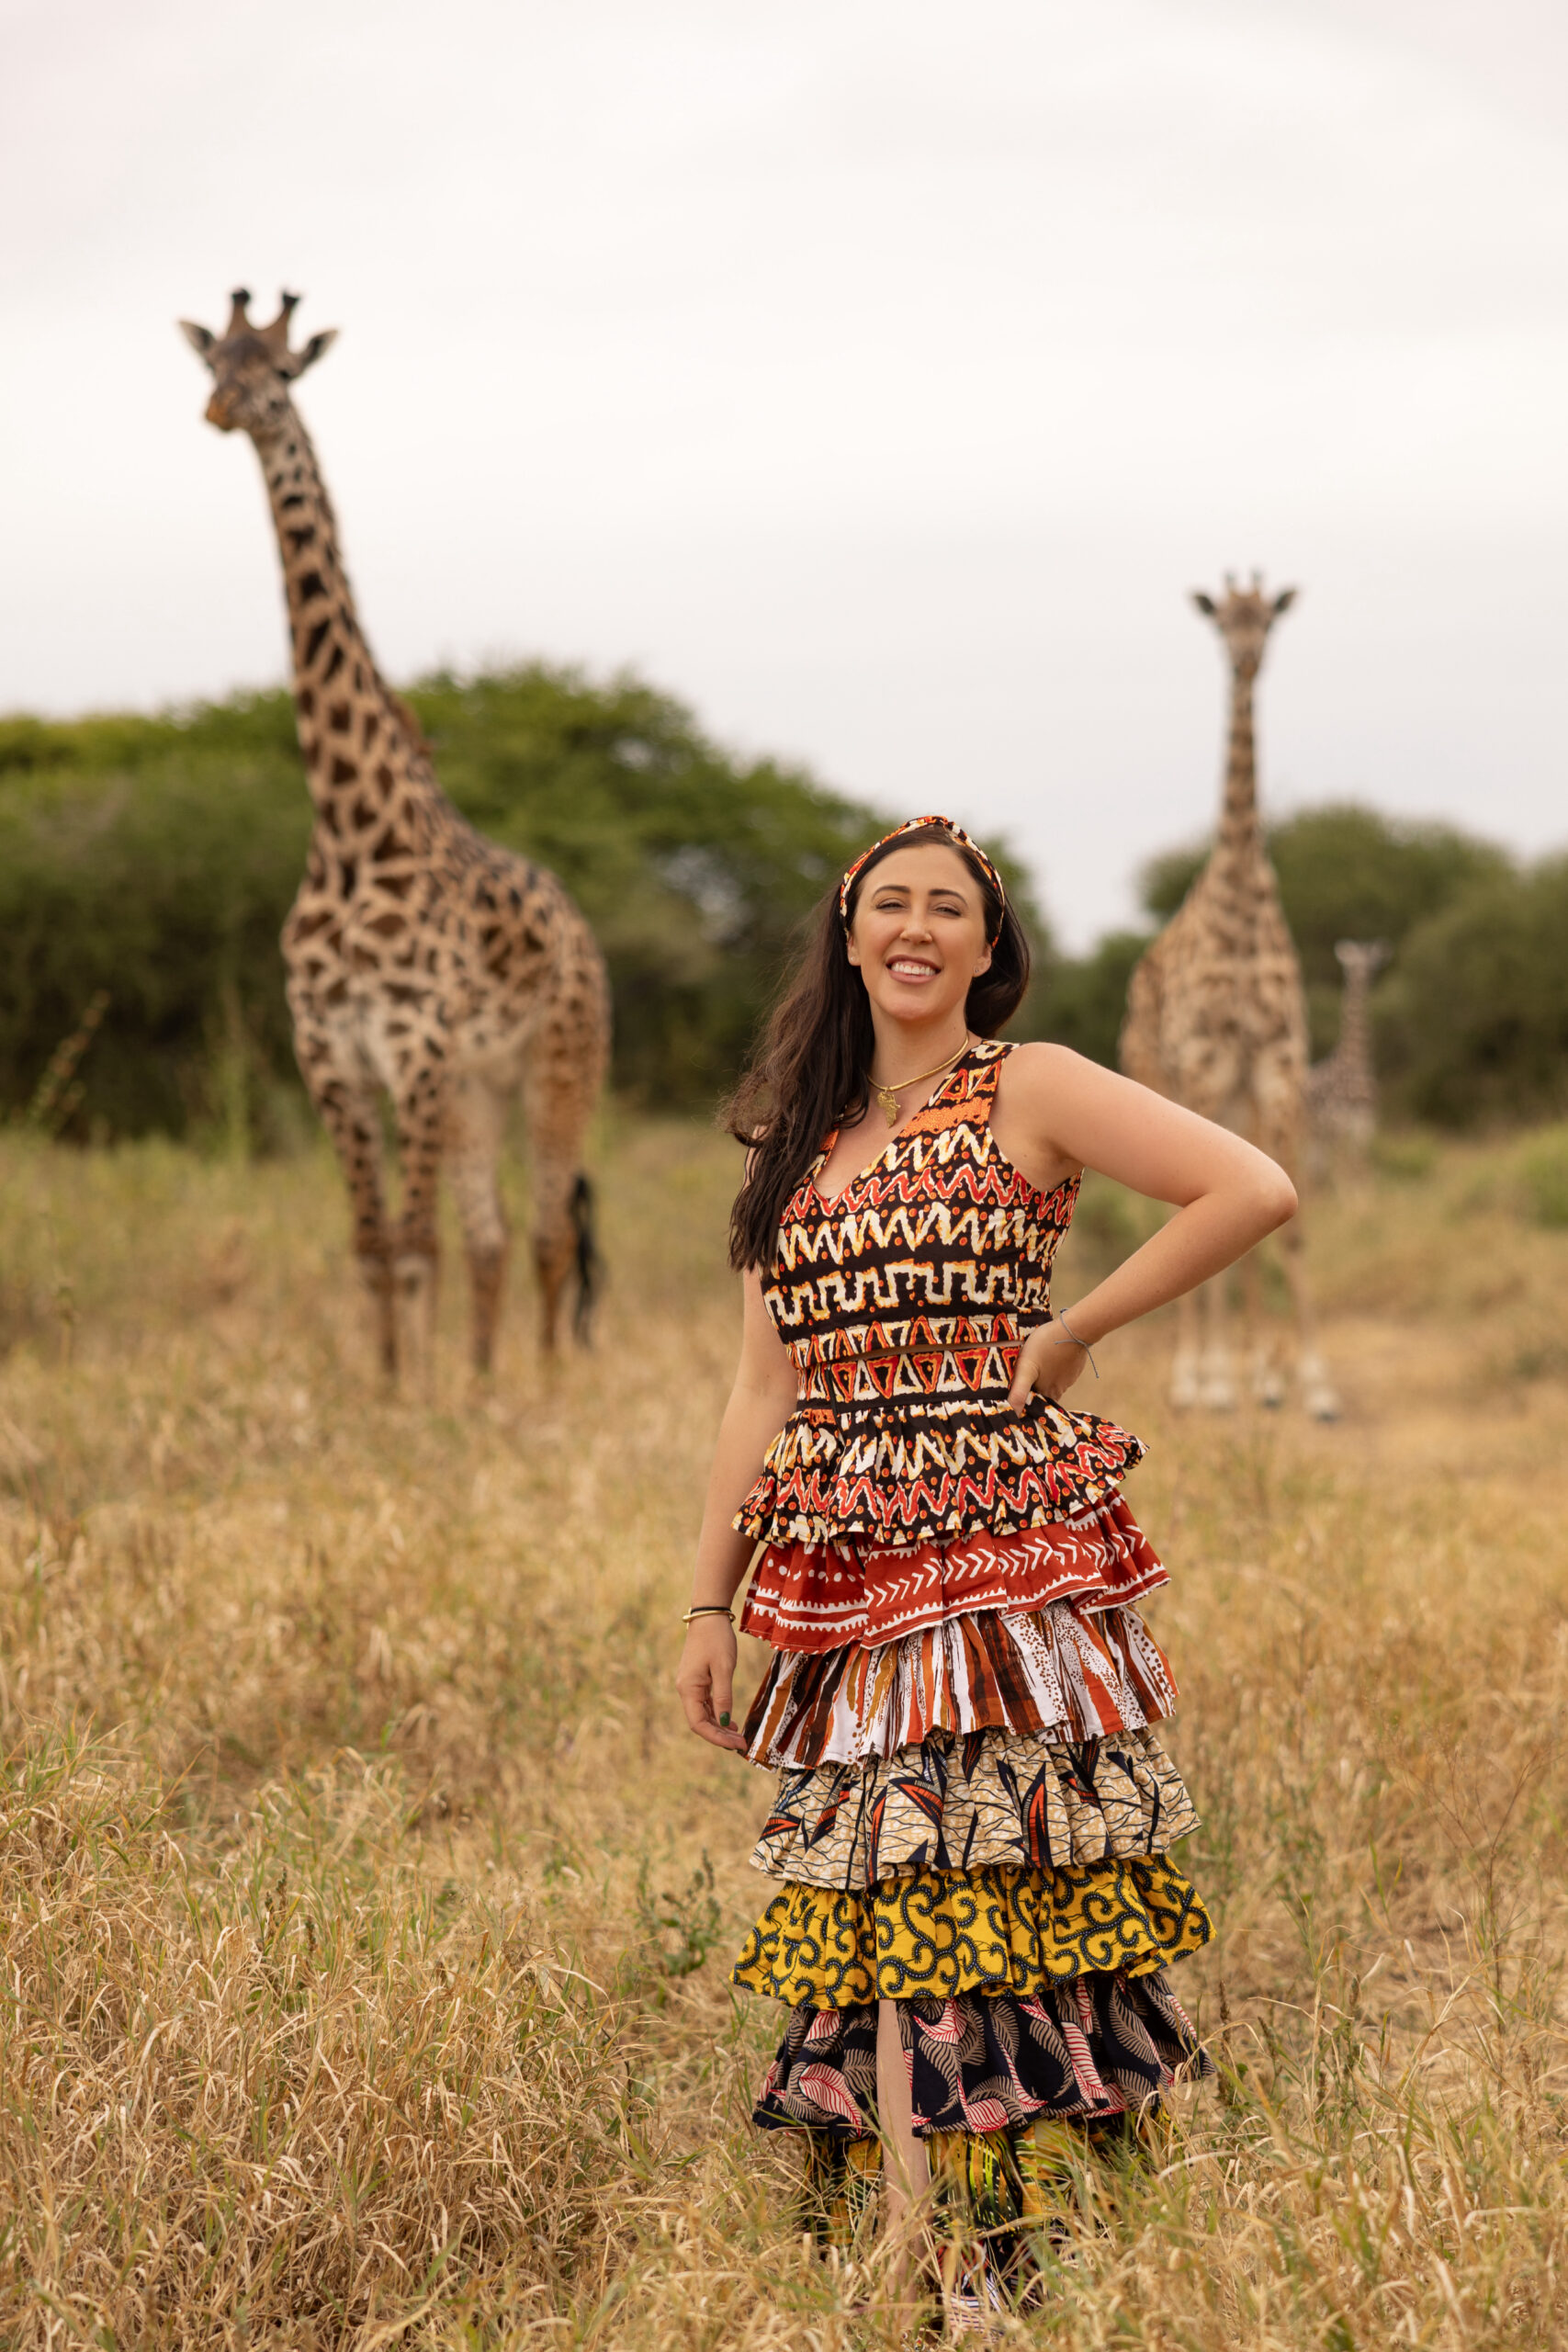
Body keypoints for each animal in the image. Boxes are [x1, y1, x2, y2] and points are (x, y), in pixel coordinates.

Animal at [180, 290, 611, 1385]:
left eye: (282, 371)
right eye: (216, 361)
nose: (222, 410)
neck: (348, 829)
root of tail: (582, 927)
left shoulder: (411, 1044)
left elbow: (415, 1245)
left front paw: (413, 1394)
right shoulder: (329, 1049)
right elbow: (374, 1243)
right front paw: (388, 1388)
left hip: (558, 1065)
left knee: (549, 1231)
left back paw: (546, 1385)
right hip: (475, 1089)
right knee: (493, 1236)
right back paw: (485, 1380)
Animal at [1118, 573, 1338, 1419]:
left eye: (1267, 620)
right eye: (1222, 624)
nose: (1246, 659)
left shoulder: (1277, 1065)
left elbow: (1292, 1220)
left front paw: (1305, 1382)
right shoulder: (1210, 1065)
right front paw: (1209, 1381)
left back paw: (1256, 1377)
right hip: (1160, 1082)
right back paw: (1191, 1375)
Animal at [1303, 941, 1390, 1183]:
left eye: (1374, 963)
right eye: (1349, 967)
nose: (1364, 976)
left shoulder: (1365, 1124)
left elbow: (1362, 1168)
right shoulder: (1338, 1123)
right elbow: (1345, 1170)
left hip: (1322, 1134)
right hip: (1314, 1130)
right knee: (1315, 1170)